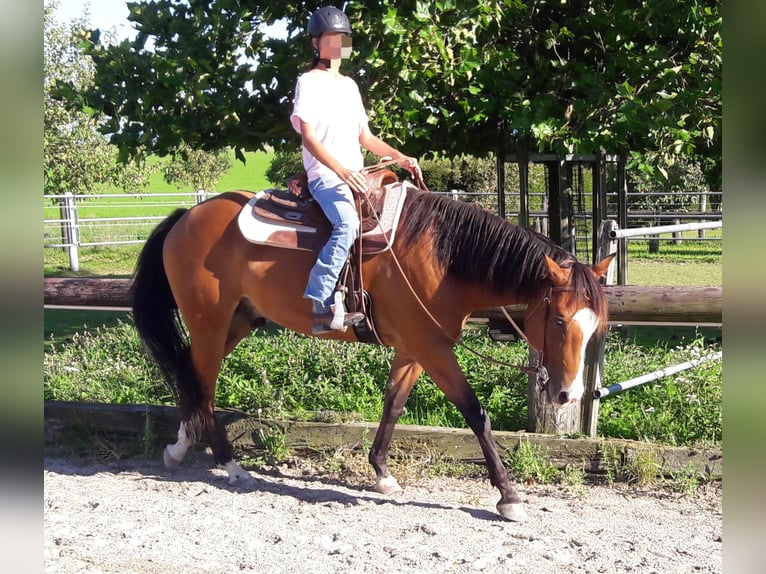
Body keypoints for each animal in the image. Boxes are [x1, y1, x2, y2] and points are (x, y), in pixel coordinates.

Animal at [130, 183, 613, 522]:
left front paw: (381, 474)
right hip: (210, 322)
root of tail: (185, 217)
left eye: (595, 327)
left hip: (237, 321)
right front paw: (508, 496)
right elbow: (476, 413)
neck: (443, 257)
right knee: (203, 384)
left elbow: (393, 405)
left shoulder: (414, 349)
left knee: (193, 375)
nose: (568, 395)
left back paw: (180, 447)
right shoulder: (432, 348)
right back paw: (231, 467)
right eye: (558, 320)